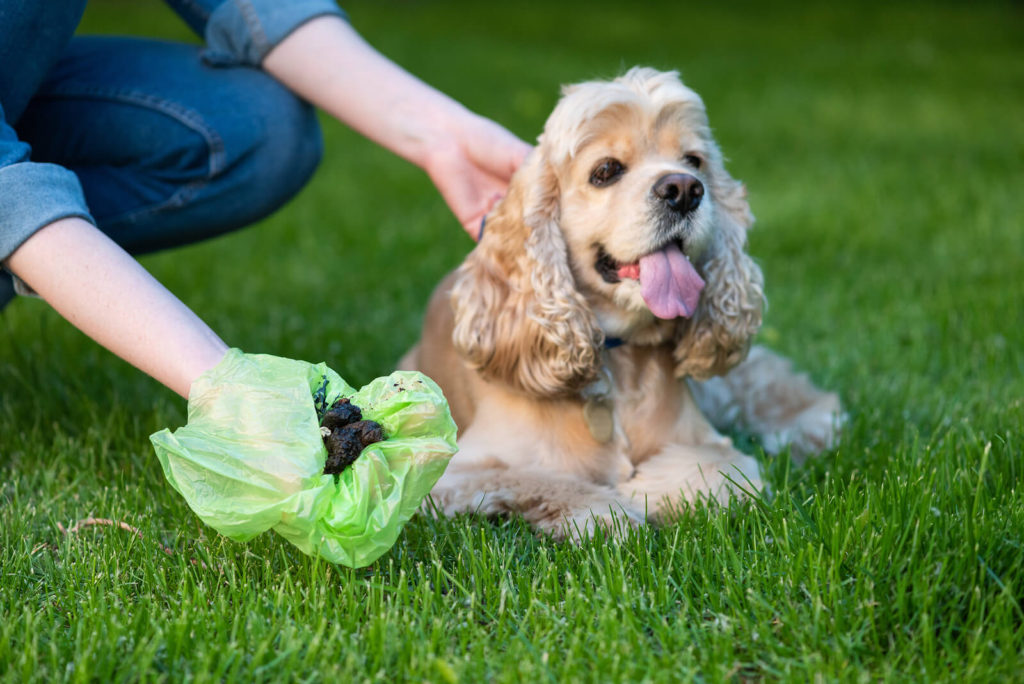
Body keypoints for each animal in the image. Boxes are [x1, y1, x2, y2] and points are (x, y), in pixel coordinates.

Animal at [399, 69, 839, 540]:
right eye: (606, 170)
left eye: (694, 161)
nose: (685, 189)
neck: (621, 359)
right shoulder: (456, 470)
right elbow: (548, 481)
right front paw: (612, 511)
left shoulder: (708, 441)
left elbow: (718, 470)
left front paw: (648, 489)